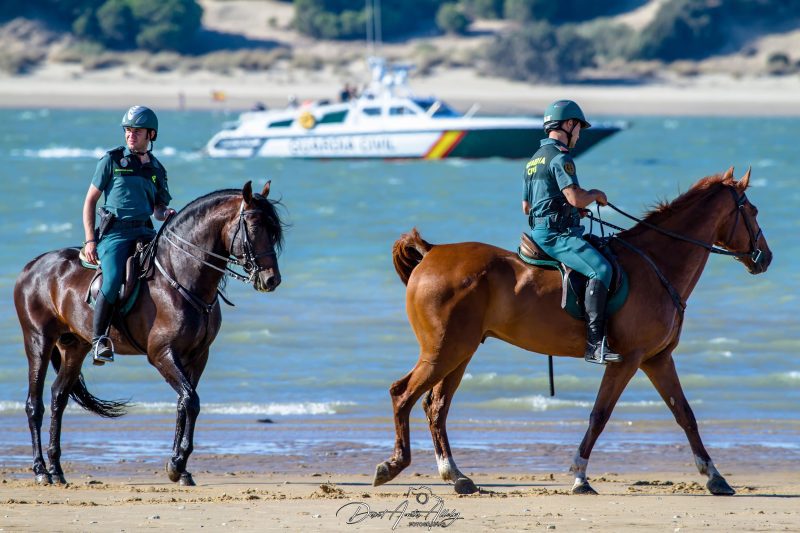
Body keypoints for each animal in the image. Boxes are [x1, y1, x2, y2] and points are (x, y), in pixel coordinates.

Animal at [14, 180, 283, 486]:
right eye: (253, 226)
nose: (271, 280)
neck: (180, 276)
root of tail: (32, 266)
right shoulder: (161, 354)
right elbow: (191, 401)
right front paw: (177, 464)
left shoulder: (197, 356)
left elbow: (185, 403)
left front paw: (179, 467)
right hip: (38, 341)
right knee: (34, 405)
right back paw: (40, 470)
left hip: (75, 346)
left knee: (58, 397)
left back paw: (57, 470)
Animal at [373, 167, 772, 496]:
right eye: (752, 211)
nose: (765, 258)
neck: (657, 264)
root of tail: (431, 252)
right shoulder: (627, 360)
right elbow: (600, 414)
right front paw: (580, 476)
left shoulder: (658, 359)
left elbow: (685, 414)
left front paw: (715, 476)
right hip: (443, 351)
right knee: (403, 394)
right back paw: (394, 465)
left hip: (460, 352)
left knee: (436, 405)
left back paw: (456, 475)